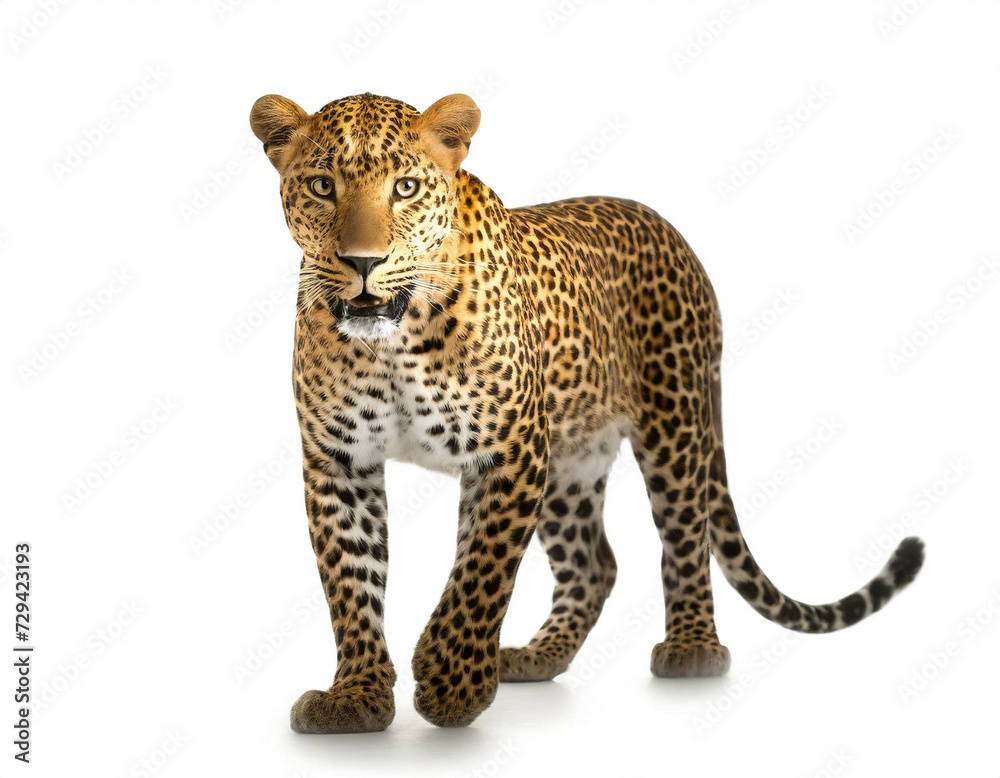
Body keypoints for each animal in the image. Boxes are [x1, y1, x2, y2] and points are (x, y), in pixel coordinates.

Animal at [249, 91, 925, 732]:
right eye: (322, 186)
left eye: (405, 188)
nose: (363, 262)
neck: (392, 343)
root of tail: (671, 233)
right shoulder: (339, 461)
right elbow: (351, 583)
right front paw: (357, 696)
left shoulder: (510, 451)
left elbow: (480, 575)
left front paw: (450, 683)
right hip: (570, 462)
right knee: (595, 565)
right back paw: (536, 655)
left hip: (675, 424)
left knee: (686, 536)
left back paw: (692, 649)